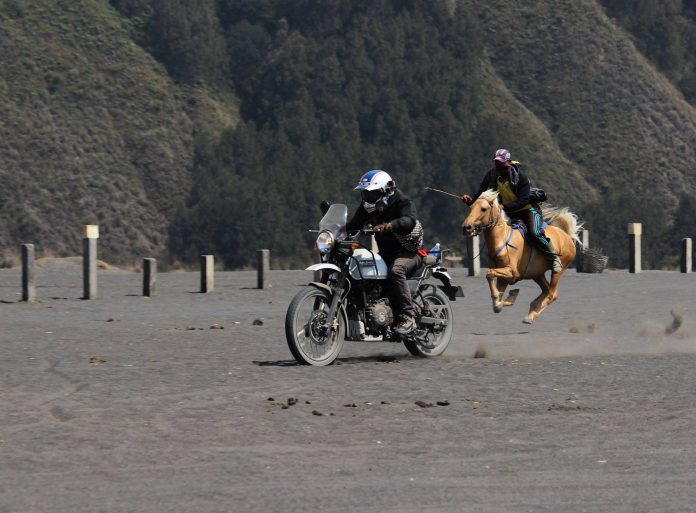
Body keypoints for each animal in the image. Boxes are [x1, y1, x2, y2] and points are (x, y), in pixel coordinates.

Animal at [462, 188, 580, 324]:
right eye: (471, 207)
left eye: (483, 209)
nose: (466, 227)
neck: (502, 240)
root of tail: (567, 236)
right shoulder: (503, 277)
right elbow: (497, 295)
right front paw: (505, 299)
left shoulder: (512, 272)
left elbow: (489, 274)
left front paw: (502, 299)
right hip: (537, 274)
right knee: (545, 290)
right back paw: (532, 309)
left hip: (558, 270)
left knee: (552, 294)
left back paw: (531, 316)